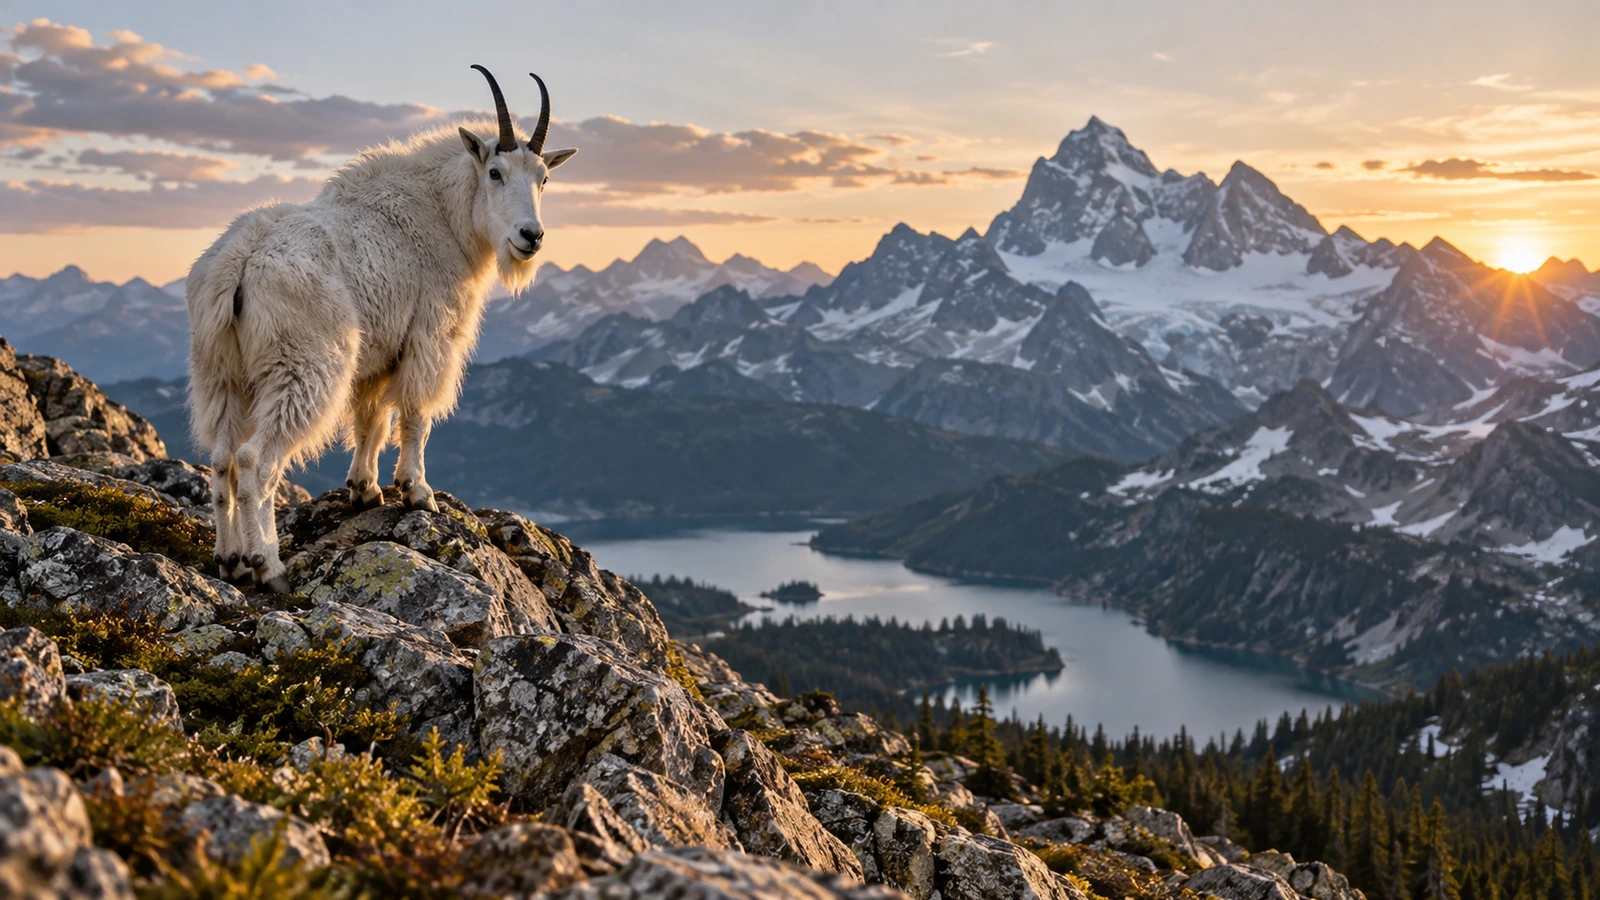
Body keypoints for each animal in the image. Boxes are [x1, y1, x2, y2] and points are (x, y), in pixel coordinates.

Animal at [185, 66, 576, 591]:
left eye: (544, 178)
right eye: (495, 172)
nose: (530, 236)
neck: (445, 216)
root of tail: (240, 262)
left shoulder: (378, 352)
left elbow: (370, 417)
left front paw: (365, 489)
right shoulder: (431, 334)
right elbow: (414, 415)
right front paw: (417, 491)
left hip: (220, 373)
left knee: (222, 460)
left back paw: (230, 560)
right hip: (306, 365)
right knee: (255, 461)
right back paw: (268, 565)